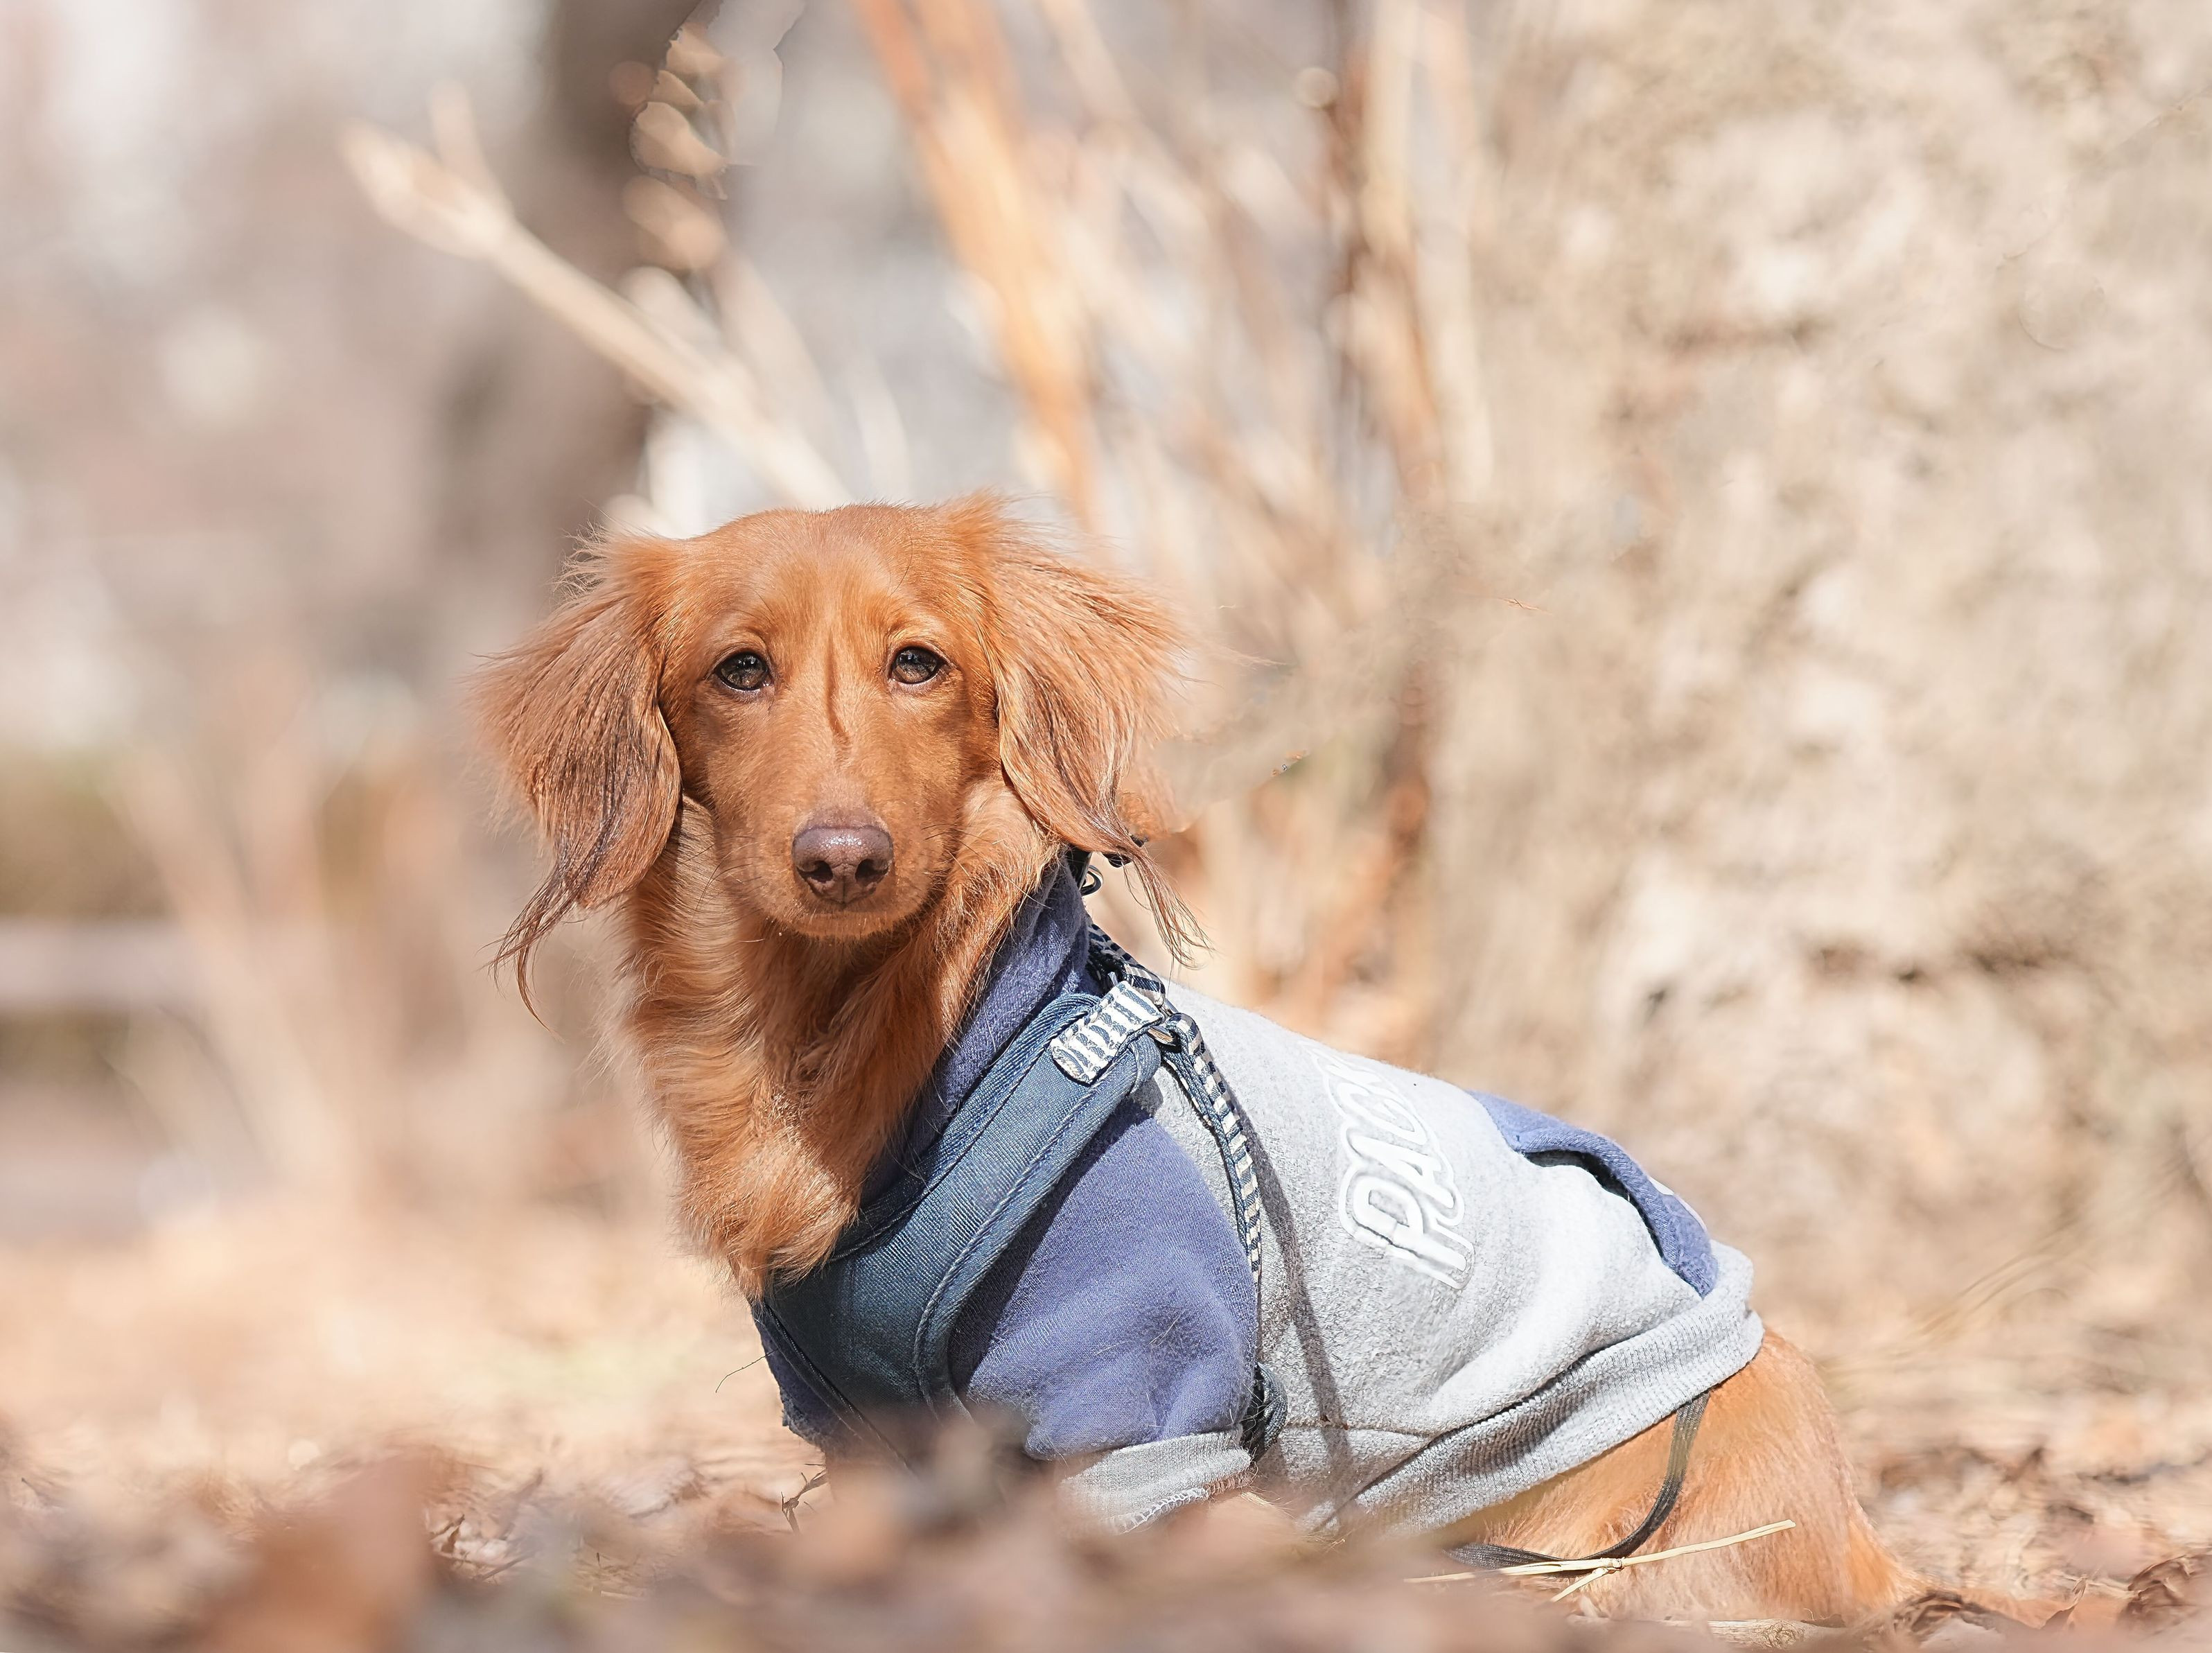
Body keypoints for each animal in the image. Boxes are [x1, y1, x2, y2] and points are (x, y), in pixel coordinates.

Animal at [480, 497, 1966, 1623]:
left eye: (919, 664)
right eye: (739, 670)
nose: (842, 859)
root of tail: (1849, 1527)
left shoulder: (1145, 1428)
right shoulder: (871, 1445)